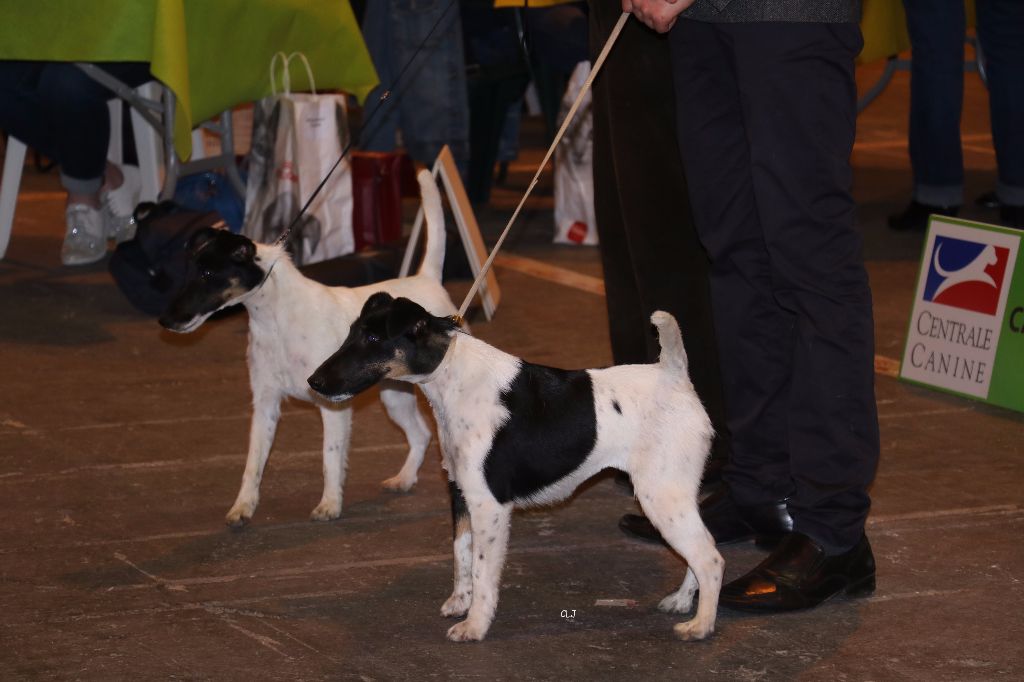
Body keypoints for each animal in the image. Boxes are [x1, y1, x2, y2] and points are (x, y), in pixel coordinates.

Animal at [158, 169, 456, 524]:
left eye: (207, 273)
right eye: (188, 270)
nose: (165, 320)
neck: (277, 319)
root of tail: (427, 280)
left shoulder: (331, 406)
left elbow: (330, 458)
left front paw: (330, 504)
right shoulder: (265, 404)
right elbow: (253, 463)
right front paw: (243, 506)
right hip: (394, 397)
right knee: (420, 434)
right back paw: (405, 479)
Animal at [307, 294, 724, 638]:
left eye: (372, 339)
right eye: (351, 333)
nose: (314, 381)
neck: (451, 375)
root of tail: (673, 375)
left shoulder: (488, 506)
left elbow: (482, 569)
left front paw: (474, 625)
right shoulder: (461, 494)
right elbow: (460, 553)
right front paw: (459, 602)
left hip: (662, 498)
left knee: (710, 558)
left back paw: (700, 625)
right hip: (675, 498)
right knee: (699, 552)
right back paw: (681, 602)